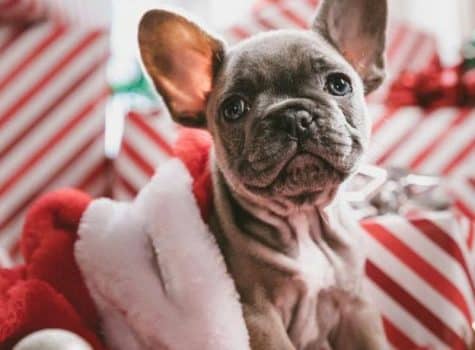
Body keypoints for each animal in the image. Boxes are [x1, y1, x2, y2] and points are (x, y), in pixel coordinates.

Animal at [139, 1, 390, 348]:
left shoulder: (355, 306)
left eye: (339, 85)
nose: (293, 116)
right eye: (233, 108)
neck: (302, 216)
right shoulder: (259, 317)